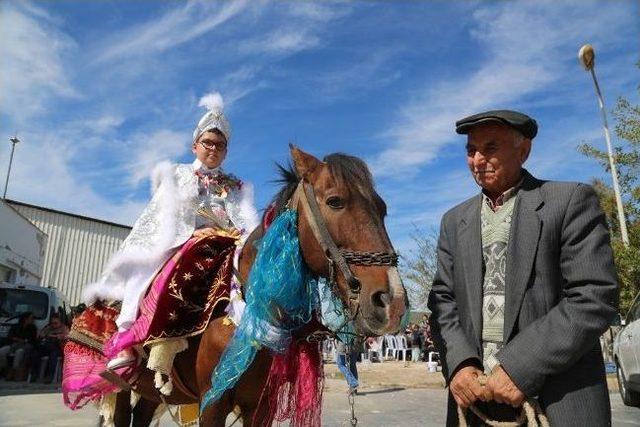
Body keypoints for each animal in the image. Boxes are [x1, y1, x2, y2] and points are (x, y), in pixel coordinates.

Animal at [106, 147, 404, 427]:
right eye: (335, 201)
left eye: (383, 209)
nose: (393, 301)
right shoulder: (212, 403)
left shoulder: (261, 405)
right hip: (119, 386)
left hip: (151, 392)